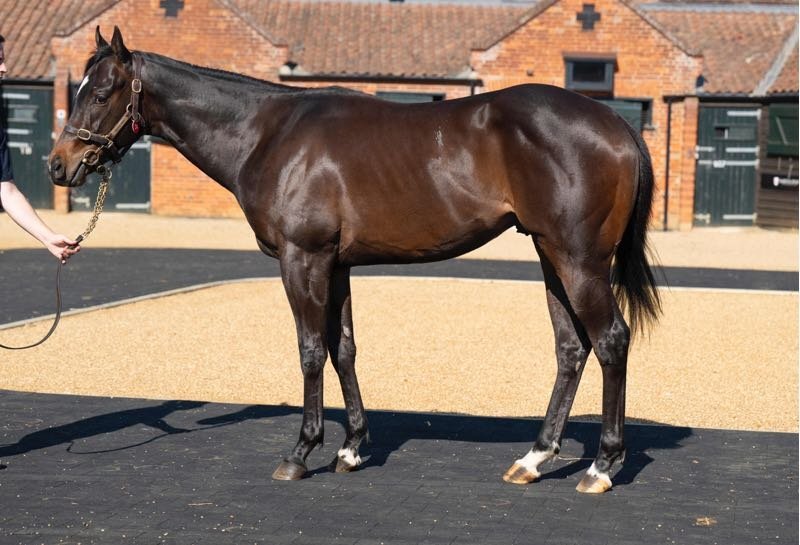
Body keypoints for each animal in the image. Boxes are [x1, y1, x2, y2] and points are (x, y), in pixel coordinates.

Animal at [49, 27, 661, 494]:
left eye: (101, 93)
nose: (60, 165)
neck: (267, 134)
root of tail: (617, 124)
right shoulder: (336, 264)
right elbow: (343, 349)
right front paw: (351, 450)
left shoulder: (302, 259)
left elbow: (310, 351)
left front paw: (302, 452)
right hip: (549, 254)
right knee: (571, 348)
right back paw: (534, 459)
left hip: (578, 259)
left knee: (610, 341)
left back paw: (602, 467)